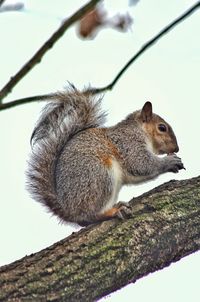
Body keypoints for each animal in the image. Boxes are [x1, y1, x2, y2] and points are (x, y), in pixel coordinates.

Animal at [27, 86, 185, 225]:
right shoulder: (128, 143)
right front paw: (169, 161)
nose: (176, 148)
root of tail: (68, 210)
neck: (139, 130)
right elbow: (141, 163)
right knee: (88, 215)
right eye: (162, 128)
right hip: (99, 175)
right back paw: (113, 211)